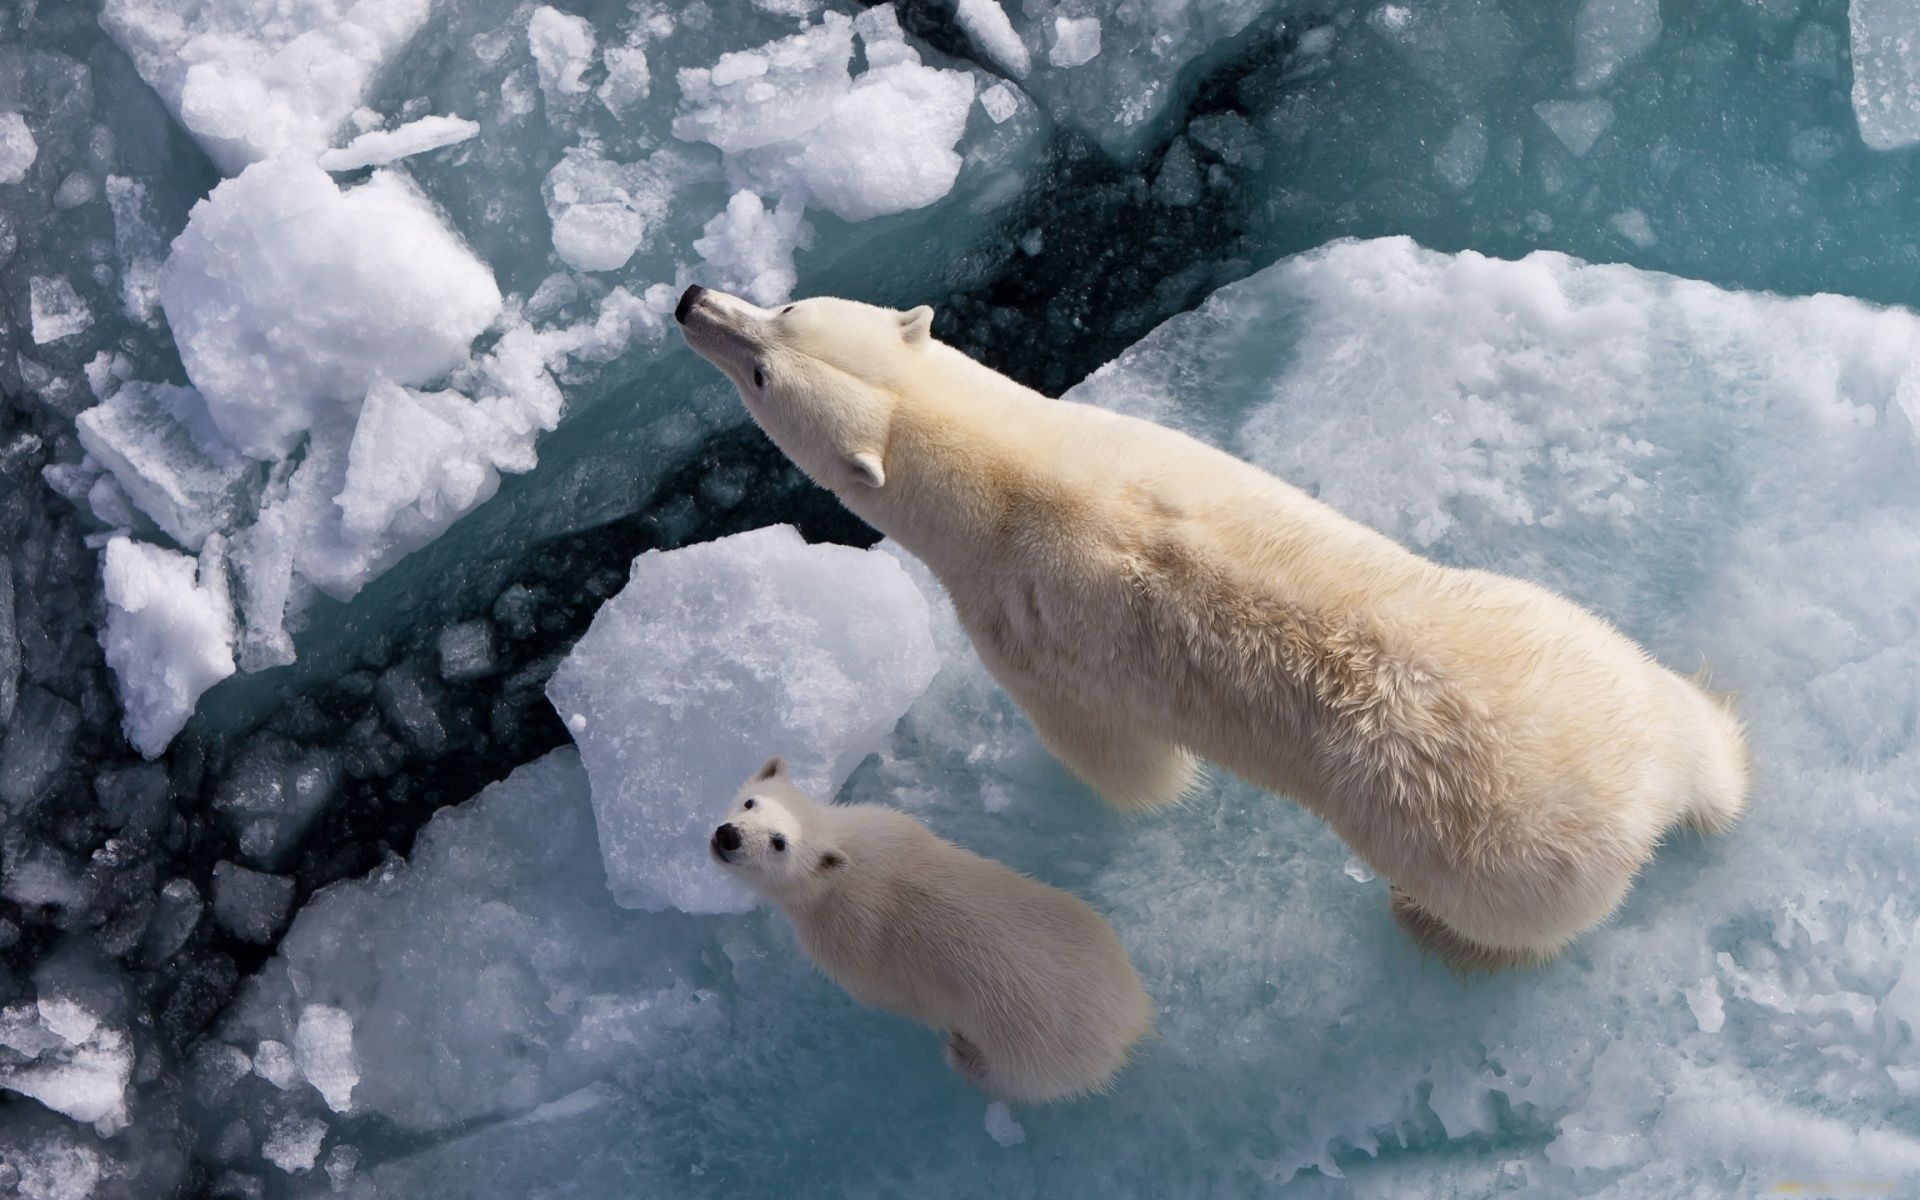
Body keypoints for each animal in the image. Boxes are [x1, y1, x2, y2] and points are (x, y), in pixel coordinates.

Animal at [672, 286, 1743, 967]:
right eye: (787, 313)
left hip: (1495, 857)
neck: (1012, 477)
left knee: (1509, 921)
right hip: (1571, 638)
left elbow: (1116, 760)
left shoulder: (1024, 630)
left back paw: (1427, 926)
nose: (689, 300)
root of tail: (1642, 794)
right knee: (1687, 717)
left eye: (764, 364)